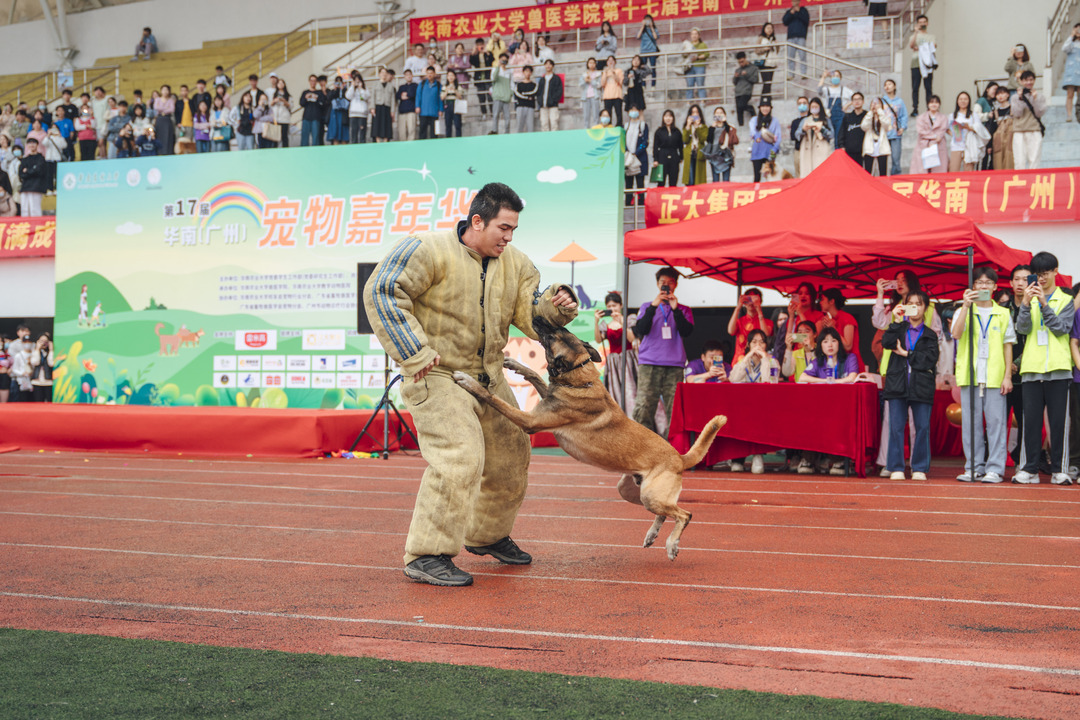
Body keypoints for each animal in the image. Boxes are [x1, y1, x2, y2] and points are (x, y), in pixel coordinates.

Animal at [455, 317, 725, 561]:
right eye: (562, 331)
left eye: (552, 336)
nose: (539, 317)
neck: (579, 377)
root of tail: (679, 457)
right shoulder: (546, 400)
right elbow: (536, 376)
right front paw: (514, 363)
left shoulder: (530, 421)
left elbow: (494, 399)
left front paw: (469, 383)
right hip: (635, 493)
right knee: (665, 513)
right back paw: (652, 536)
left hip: (651, 496)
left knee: (685, 515)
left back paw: (671, 544)